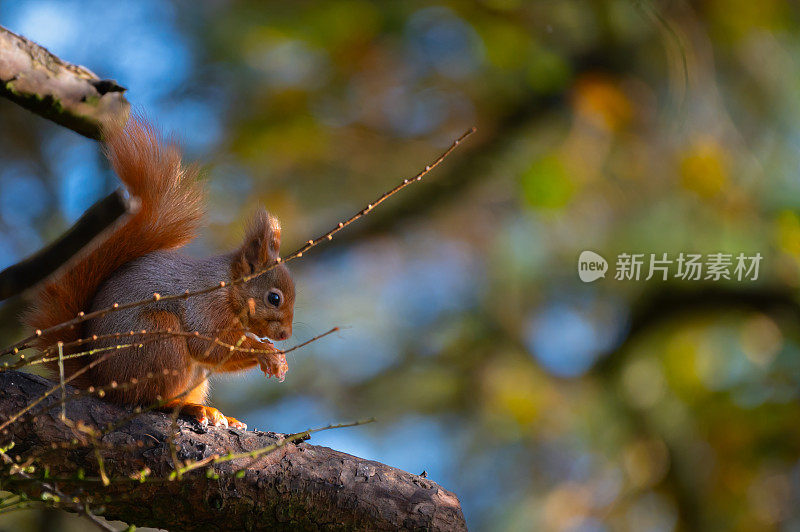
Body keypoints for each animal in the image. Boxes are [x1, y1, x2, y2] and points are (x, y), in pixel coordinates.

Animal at [23, 115, 296, 428]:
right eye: (274, 298)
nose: (286, 334)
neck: (228, 287)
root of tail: (103, 385)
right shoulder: (205, 305)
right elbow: (210, 346)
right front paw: (269, 354)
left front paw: (278, 359)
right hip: (159, 339)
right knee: (149, 399)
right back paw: (188, 407)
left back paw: (215, 413)